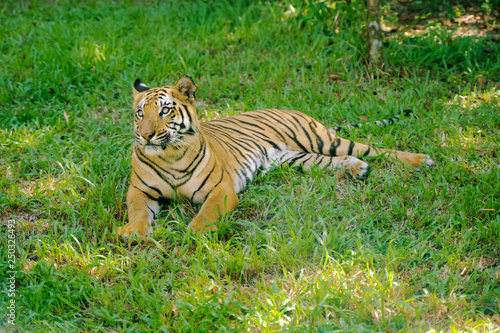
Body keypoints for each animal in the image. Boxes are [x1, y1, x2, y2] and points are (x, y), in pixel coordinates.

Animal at [116, 76, 434, 236]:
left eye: (165, 111)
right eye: (140, 113)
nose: (146, 135)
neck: (169, 155)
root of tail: (295, 110)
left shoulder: (221, 190)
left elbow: (206, 213)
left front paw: (196, 230)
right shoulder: (139, 190)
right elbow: (138, 211)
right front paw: (133, 231)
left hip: (322, 140)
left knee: (374, 149)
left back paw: (422, 160)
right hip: (299, 159)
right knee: (337, 161)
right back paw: (358, 169)